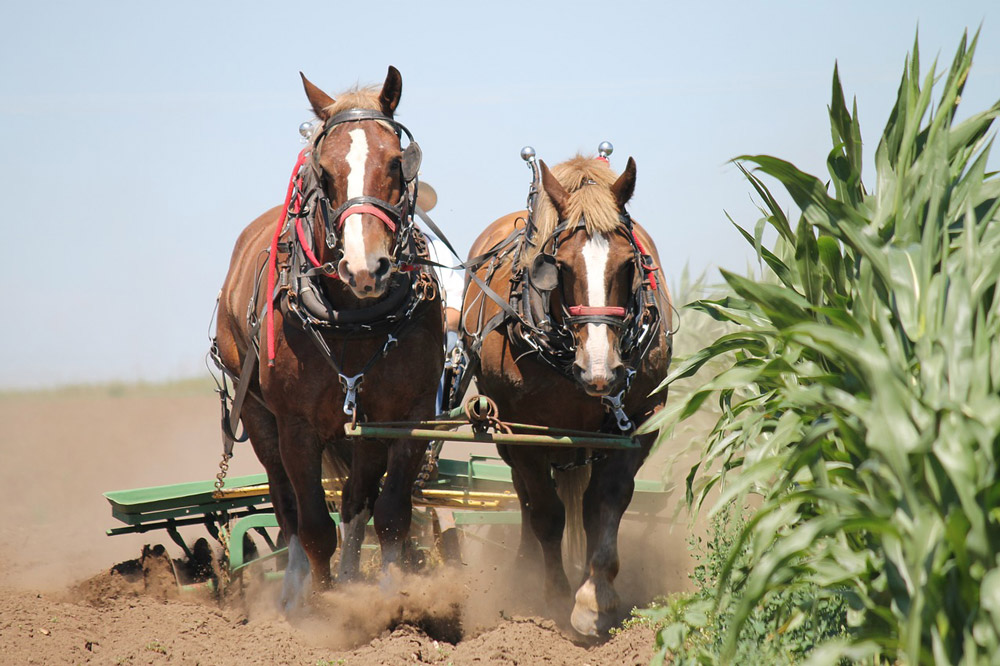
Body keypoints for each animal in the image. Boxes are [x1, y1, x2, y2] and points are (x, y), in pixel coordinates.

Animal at [214, 66, 442, 608]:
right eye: (324, 171)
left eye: (396, 162)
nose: (365, 268)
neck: (354, 318)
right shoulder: (296, 425)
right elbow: (315, 526)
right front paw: (322, 608)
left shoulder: (406, 415)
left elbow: (390, 514)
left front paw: (387, 597)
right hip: (256, 413)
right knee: (287, 505)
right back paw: (295, 588)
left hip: (362, 426)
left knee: (357, 502)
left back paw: (354, 576)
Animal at [460, 153, 672, 636]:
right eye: (560, 266)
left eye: (628, 263)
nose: (600, 371)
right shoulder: (523, 430)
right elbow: (546, 512)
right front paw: (554, 596)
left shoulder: (641, 420)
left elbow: (605, 502)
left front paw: (596, 598)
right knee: (525, 498)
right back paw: (525, 568)